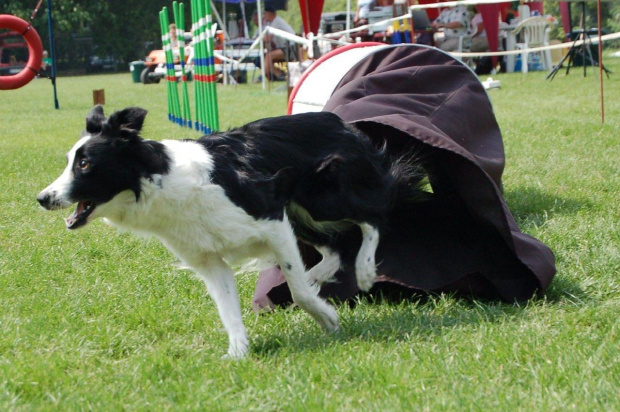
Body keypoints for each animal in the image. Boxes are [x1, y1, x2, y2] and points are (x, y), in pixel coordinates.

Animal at [36, 106, 426, 358]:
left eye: (85, 164)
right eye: (69, 162)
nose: (42, 198)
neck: (161, 181)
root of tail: (338, 120)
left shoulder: (270, 217)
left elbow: (300, 293)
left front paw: (326, 317)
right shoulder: (209, 261)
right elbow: (229, 311)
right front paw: (238, 355)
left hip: (321, 197)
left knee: (375, 216)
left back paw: (364, 270)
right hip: (300, 211)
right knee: (333, 249)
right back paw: (318, 274)